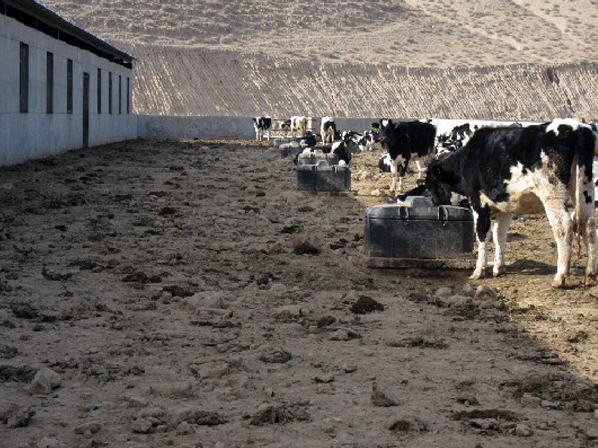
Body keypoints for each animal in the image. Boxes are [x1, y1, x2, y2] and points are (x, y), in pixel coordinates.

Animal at [424, 118, 596, 288]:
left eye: (432, 184)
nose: (433, 201)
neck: (467, 159)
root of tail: (575, 127)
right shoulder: (505, 206)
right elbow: (499, 234)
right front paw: (498, 268)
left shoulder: (479, 203)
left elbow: (482, 234)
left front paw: (479, 271)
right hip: (584, 188)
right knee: (588, 224)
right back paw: (590, 275)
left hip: (552, 193)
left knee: (564, 227)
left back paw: (560, 277)